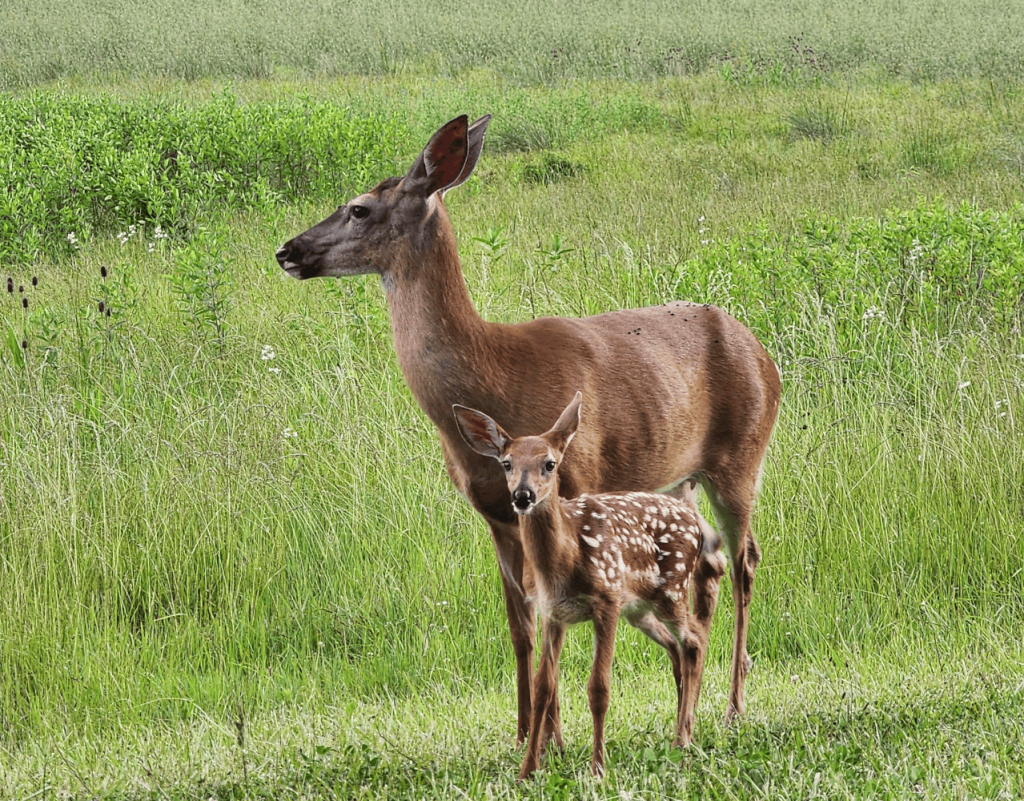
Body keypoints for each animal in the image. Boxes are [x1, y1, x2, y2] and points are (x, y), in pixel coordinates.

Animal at [456, 395, 729, 782]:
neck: (565, 558)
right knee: (679, 647)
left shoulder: (607, 600)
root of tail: (696, 521)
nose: (522, 495)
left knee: (694, 641)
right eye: (506, 463)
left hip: (672, 588)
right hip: (641, 610)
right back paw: (680, 730)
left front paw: (598, 768)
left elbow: (598, 687)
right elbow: (544, 686)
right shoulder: (553, 613)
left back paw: (683, 739)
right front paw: (529, 769)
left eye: (550, 464)